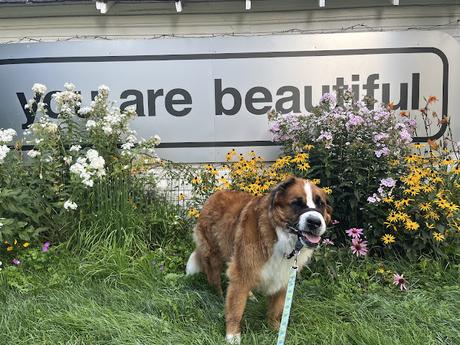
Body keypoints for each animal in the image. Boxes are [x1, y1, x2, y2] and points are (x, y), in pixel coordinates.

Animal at [185, 176, 332, 342]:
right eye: (297, 203)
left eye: (321, 204)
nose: (315, 222)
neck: (278, 235)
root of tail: (216, 195)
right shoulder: (242, 272)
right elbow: (235, 309)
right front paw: (232, 336)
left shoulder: (283, 276)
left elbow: (275, 309)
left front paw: (275, 329)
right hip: (213, 255)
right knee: (214, 279)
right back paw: (219, 296)